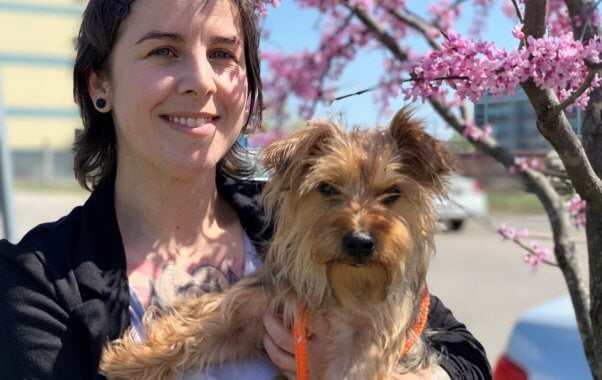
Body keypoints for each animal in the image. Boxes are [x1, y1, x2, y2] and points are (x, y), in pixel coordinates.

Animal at [101, 107, 452, 380]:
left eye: (392, 193)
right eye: (327, 187)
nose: (359, 241)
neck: (340, 293)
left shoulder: (365, 347)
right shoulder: (256, 310)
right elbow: (195, 331)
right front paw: (126, 361)